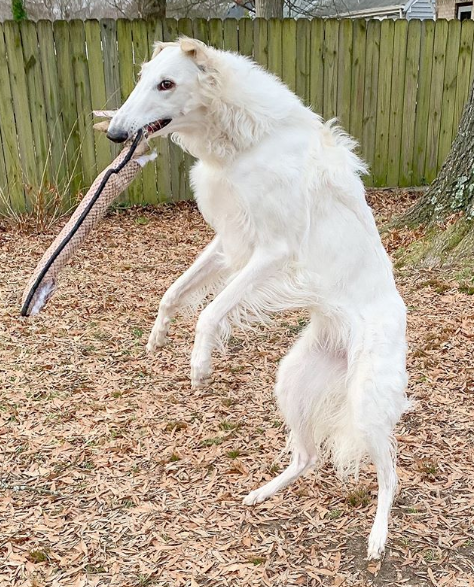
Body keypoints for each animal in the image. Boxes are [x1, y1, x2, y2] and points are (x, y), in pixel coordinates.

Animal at [106, 38, 408, 560]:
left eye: (166, 83)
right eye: (143, 78)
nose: (114, 133)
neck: (250, 141)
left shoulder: (274, 252)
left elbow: (209, 312)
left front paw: (200, 364)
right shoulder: (230, 242)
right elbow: (174, 292)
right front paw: (159, 336)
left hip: (366, 402)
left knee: (390, 475)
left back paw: (377, 538)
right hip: (292, 382)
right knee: (307, 456)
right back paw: (262, 493)